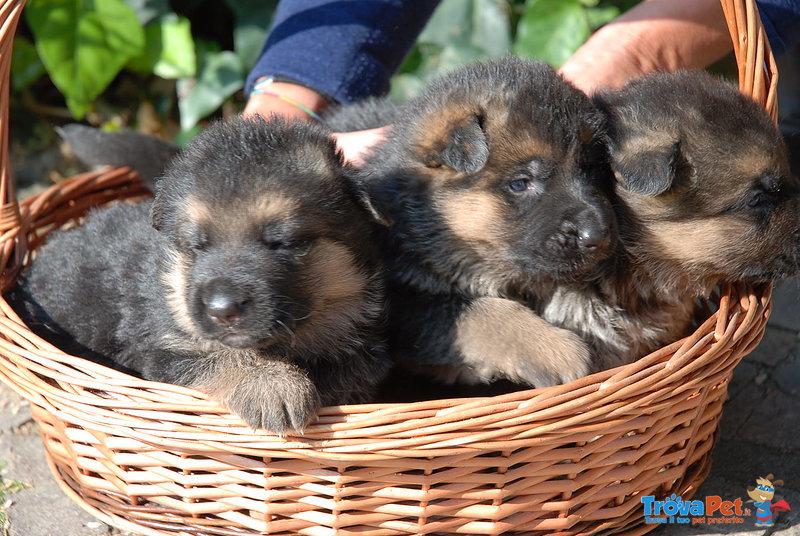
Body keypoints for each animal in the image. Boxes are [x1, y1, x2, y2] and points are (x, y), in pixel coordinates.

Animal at [8, 116, 390, 432]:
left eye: (283, 241)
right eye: (197, 245)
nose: (223, 309)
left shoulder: (360, 353)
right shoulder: (164, 345)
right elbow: (219, 354)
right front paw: (272, 384)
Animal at [328, 57, 616, 386]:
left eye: (591, 170)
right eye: (520, 183)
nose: (598, 235)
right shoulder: (404, 304)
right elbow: (479, 311)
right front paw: (554, 349)